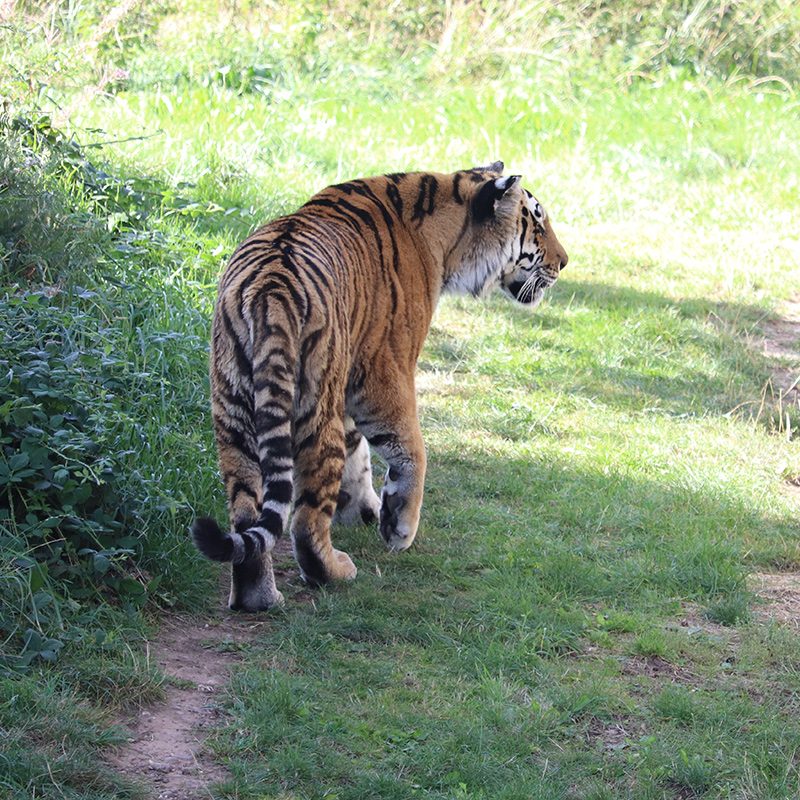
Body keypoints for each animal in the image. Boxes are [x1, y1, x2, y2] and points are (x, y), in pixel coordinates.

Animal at [192, 162, 568, 612]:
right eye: (538, 223)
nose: (565, 262)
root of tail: (271, 288)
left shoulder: (351, 376)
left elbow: (359, 456)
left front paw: (366, 509)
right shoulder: (387, 370)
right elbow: (411, 448)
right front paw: (398, 527)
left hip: (234, 408)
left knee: (248, 510)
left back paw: (258, 598)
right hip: (314, 407)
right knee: (305, 518)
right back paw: (334, 571)